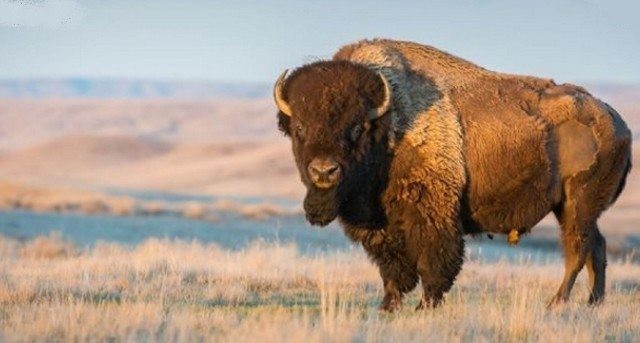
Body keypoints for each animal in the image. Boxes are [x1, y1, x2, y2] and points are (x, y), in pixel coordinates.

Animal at [272, 38, 632, 312]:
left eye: (357, 127)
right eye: (300, 128)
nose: (324, 171)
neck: (390, 123)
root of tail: (618, 123)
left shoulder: (433, 213)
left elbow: (434, 262)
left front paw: (424, 306)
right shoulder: (381, 227)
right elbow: (393, 268)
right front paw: (388, 306)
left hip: (576, 204)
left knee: (577, 250)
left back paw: (556, 302)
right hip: (574, 209)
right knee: (597, 247)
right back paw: (593, 303)